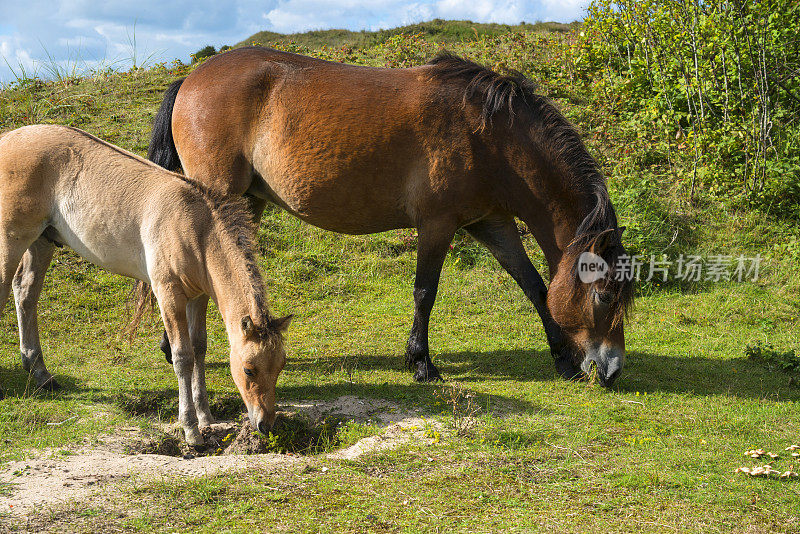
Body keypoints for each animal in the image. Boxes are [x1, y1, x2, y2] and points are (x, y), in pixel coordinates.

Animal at [150, 48, 636, 388]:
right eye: (604, 296)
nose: (612, 370)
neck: (491, 135)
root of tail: (191, 79)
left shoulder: (490, 223)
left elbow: (534, 285)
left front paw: (562, 359)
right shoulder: (438, 224)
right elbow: (425, 292)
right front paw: (421, 362)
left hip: (248, 202)